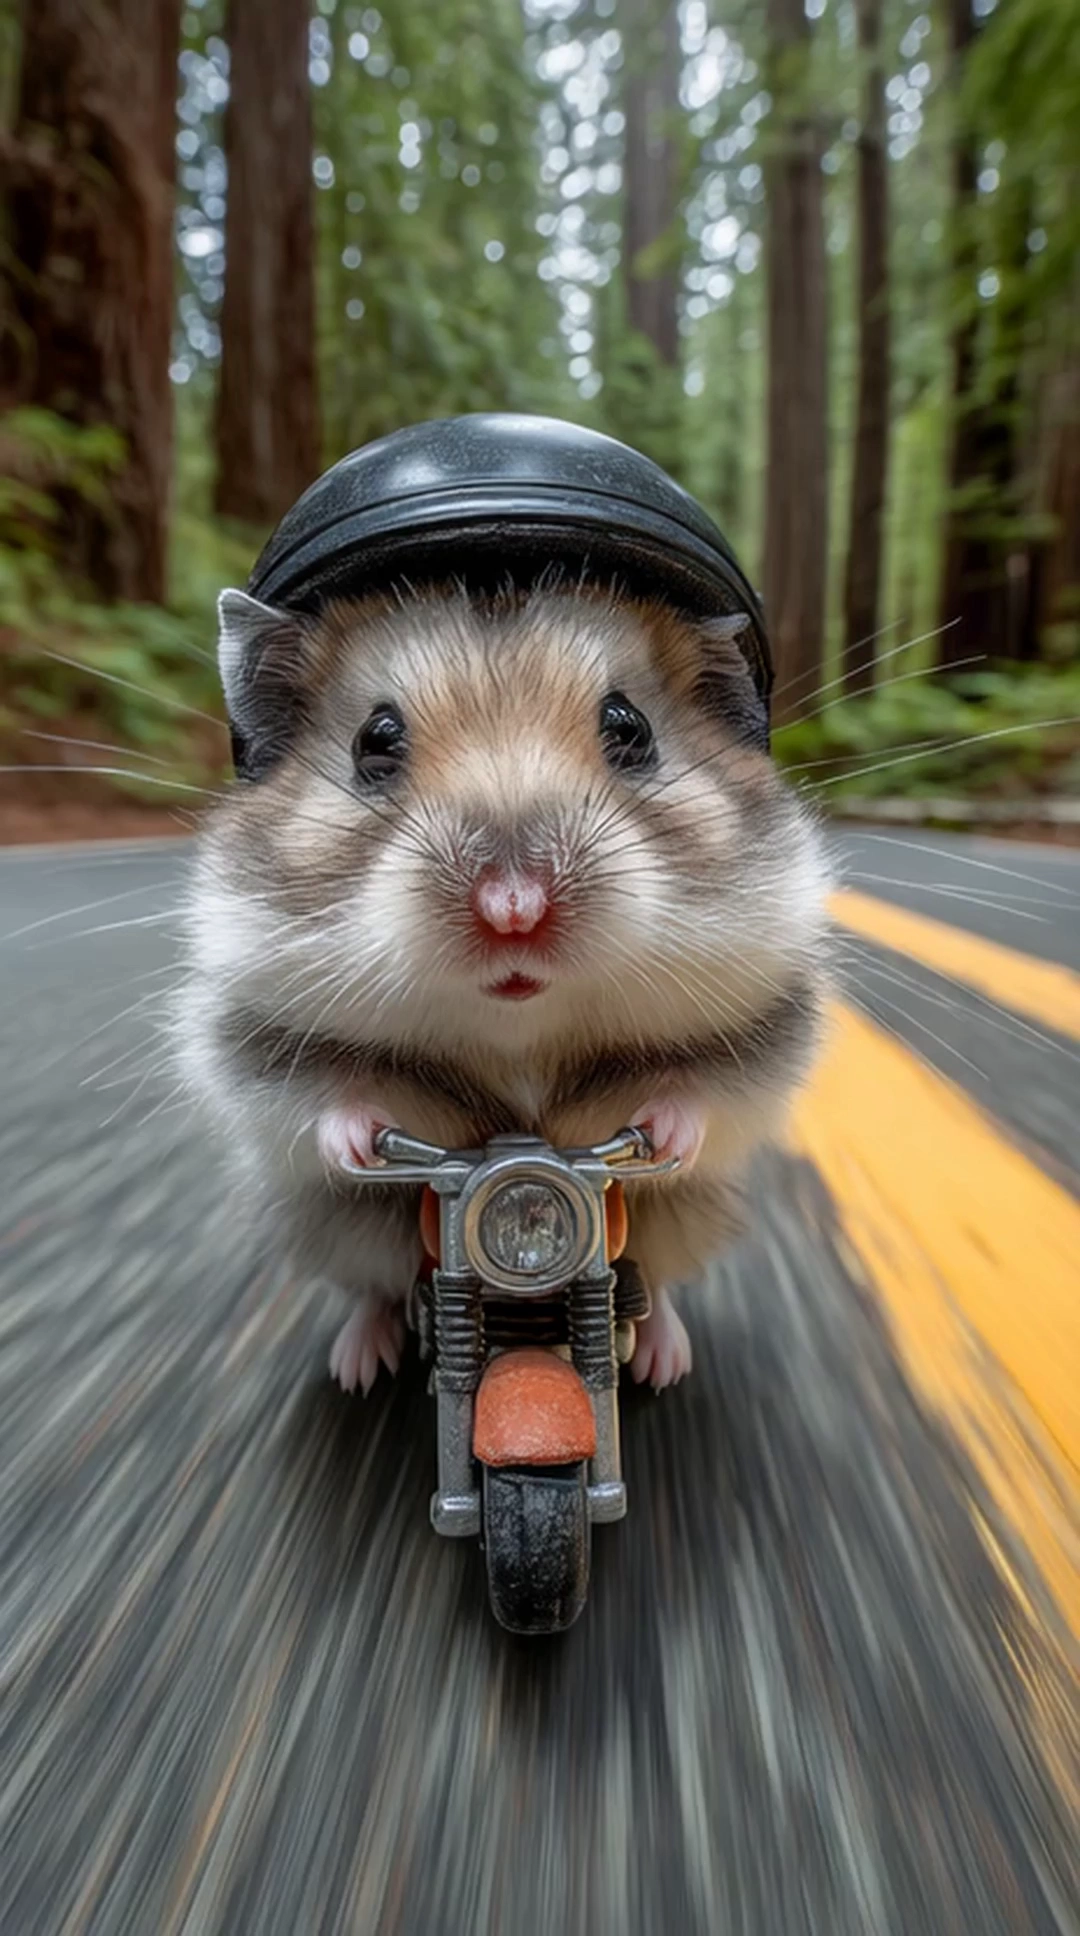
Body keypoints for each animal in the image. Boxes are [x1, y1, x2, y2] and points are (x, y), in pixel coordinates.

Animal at [175, 581, 830, 1393]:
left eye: (631, 729)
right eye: (373, 742)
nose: (513, 910)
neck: (520, 1036)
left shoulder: (767, 1035)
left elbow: (697, 1093)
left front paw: (669, 1130)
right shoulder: (255, 1047)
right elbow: (330, 1098)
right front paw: (355, 1139)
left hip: (686, 1216)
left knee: (651, 1286)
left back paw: (664, 1362)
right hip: (338, 1228)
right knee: (376, 1290)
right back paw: (357, 1365)